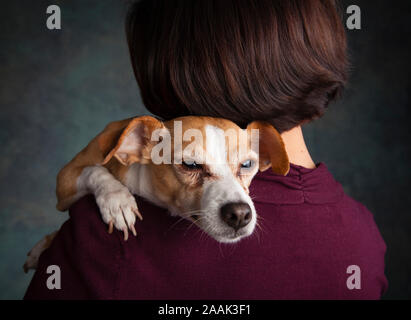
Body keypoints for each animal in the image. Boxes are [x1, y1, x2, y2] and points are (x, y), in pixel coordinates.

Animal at [24, 116, 292, 272]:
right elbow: (95, 169)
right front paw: (117, 201)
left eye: (247, 165)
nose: (240, 214)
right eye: (190, 165)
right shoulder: (66, 179)